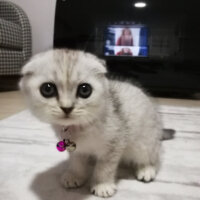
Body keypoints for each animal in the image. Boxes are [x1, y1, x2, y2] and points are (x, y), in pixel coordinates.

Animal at [19, 49, 164, 198]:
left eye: (85, 90)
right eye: (47, 89)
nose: (67, 108)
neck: (79, 127)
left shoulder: (114, 144)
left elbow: (104, 167)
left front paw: (102, 185)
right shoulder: (75, 149)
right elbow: (76, 163)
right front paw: (74, 176)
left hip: (143, 143)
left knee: (153, 157)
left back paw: (146, 169)